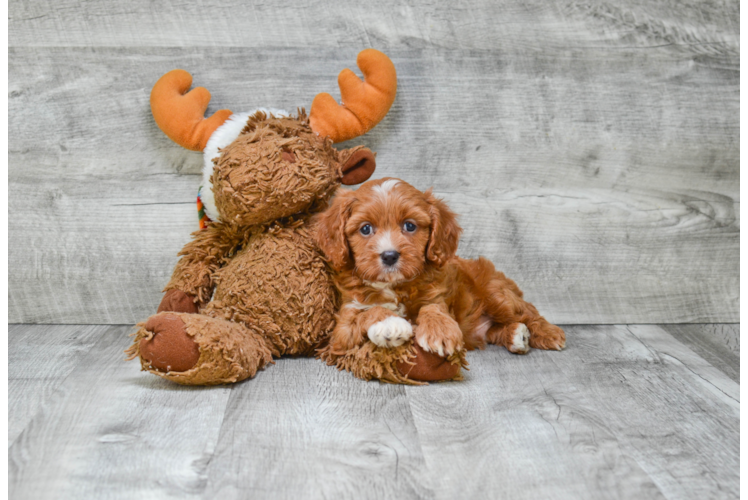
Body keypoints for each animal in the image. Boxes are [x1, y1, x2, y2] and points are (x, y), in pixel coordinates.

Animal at [312, 178, 564, 366]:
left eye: (410, 226)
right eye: (365, 229)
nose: (390, 255)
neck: (394, 285)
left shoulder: (436, 295)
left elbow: (433, 308)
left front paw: (440, 331)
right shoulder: (343, 328)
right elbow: (367, 313)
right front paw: (391, 324)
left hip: (496, 294)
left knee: (526, 311)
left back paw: (548, 333)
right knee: (494, 331)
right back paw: (516, 335)